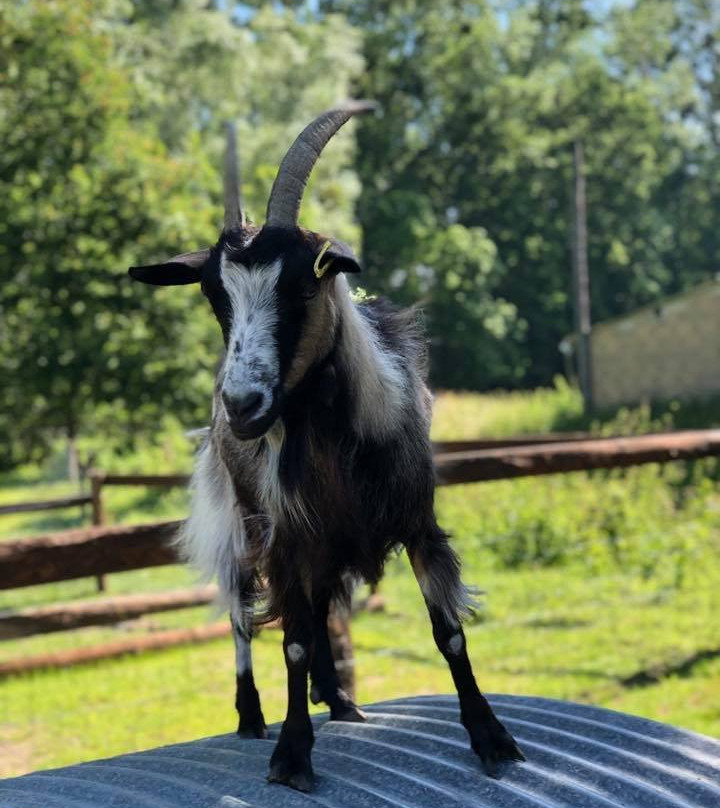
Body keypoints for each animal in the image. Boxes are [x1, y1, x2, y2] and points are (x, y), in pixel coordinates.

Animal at [129, 104, 524, 792]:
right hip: (243, 523)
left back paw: (339, 699)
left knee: (319, 617)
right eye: (214, 296)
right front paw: (291, 755)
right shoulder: (285, 535)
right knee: (242, 614)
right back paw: (252, 716)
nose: (242, 406)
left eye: (301, 286)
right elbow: (289, 640)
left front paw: (492, 739)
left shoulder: (417, 523)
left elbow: (447, 633)